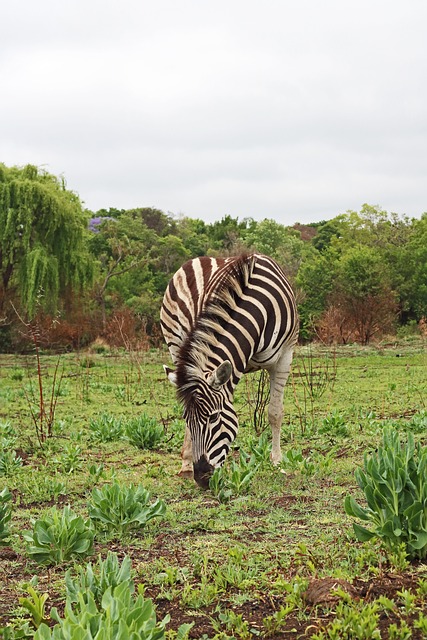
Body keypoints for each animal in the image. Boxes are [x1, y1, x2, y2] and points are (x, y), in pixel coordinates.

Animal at [161, 252, 300, 488]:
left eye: (214, 418)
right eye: (186, 419)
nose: (202, 479)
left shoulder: (284, 357)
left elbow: (275, 413)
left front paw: (277, 463)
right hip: (177, 344)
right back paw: (186, 463)